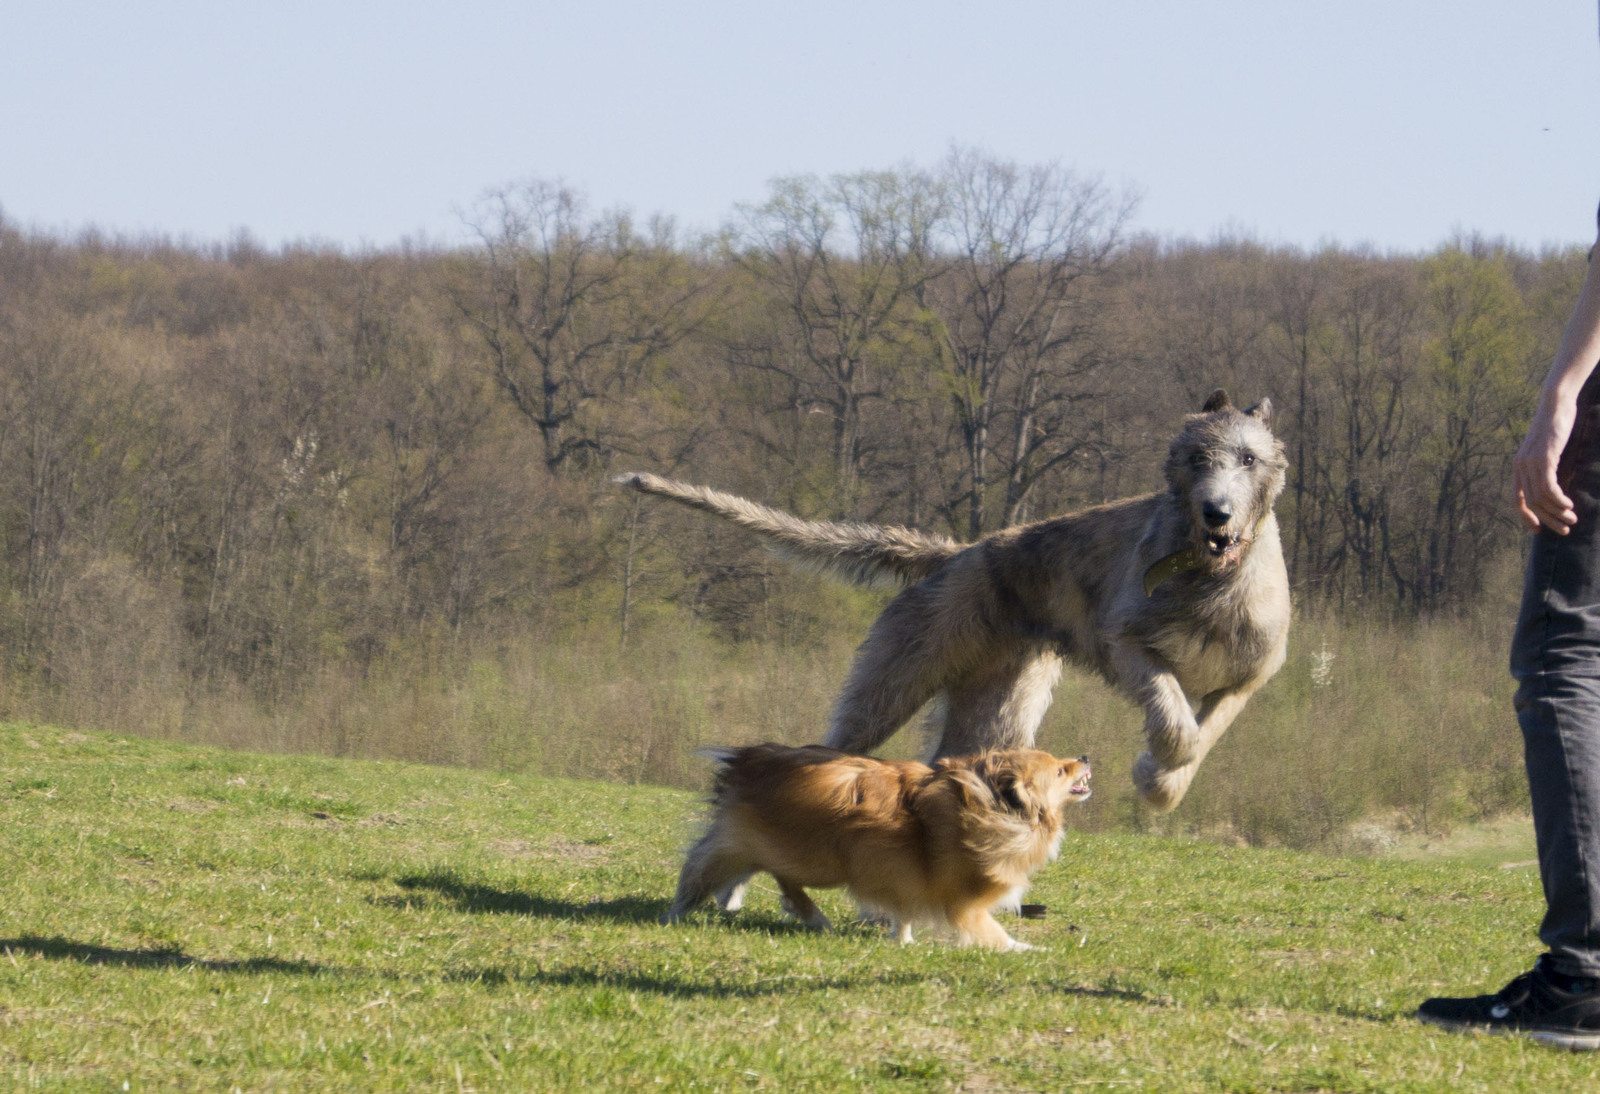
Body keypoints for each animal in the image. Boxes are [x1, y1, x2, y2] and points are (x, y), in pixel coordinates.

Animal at [617, 387, 1292, 812]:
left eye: (1249, 457)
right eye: (1197, 457)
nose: (1216, 512)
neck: (1211, 576)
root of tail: (954, 554)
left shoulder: (1251, 675)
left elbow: (1206, 729)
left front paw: (1162, 784)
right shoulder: (1129, 640)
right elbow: (1175, 719)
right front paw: (1154, 769)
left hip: (999, 701)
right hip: (898, 671)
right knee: (840, 739)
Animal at [659, 742, 1088, 946]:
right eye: (1059, 771)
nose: (1085, 757)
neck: (992, 804)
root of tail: (749, 758)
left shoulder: (908, 880)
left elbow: (906, 913)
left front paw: (903, 940)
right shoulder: (964, 906)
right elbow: (995, 935)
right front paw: (1029, 951)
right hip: (818, 858)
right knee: (721, 866)